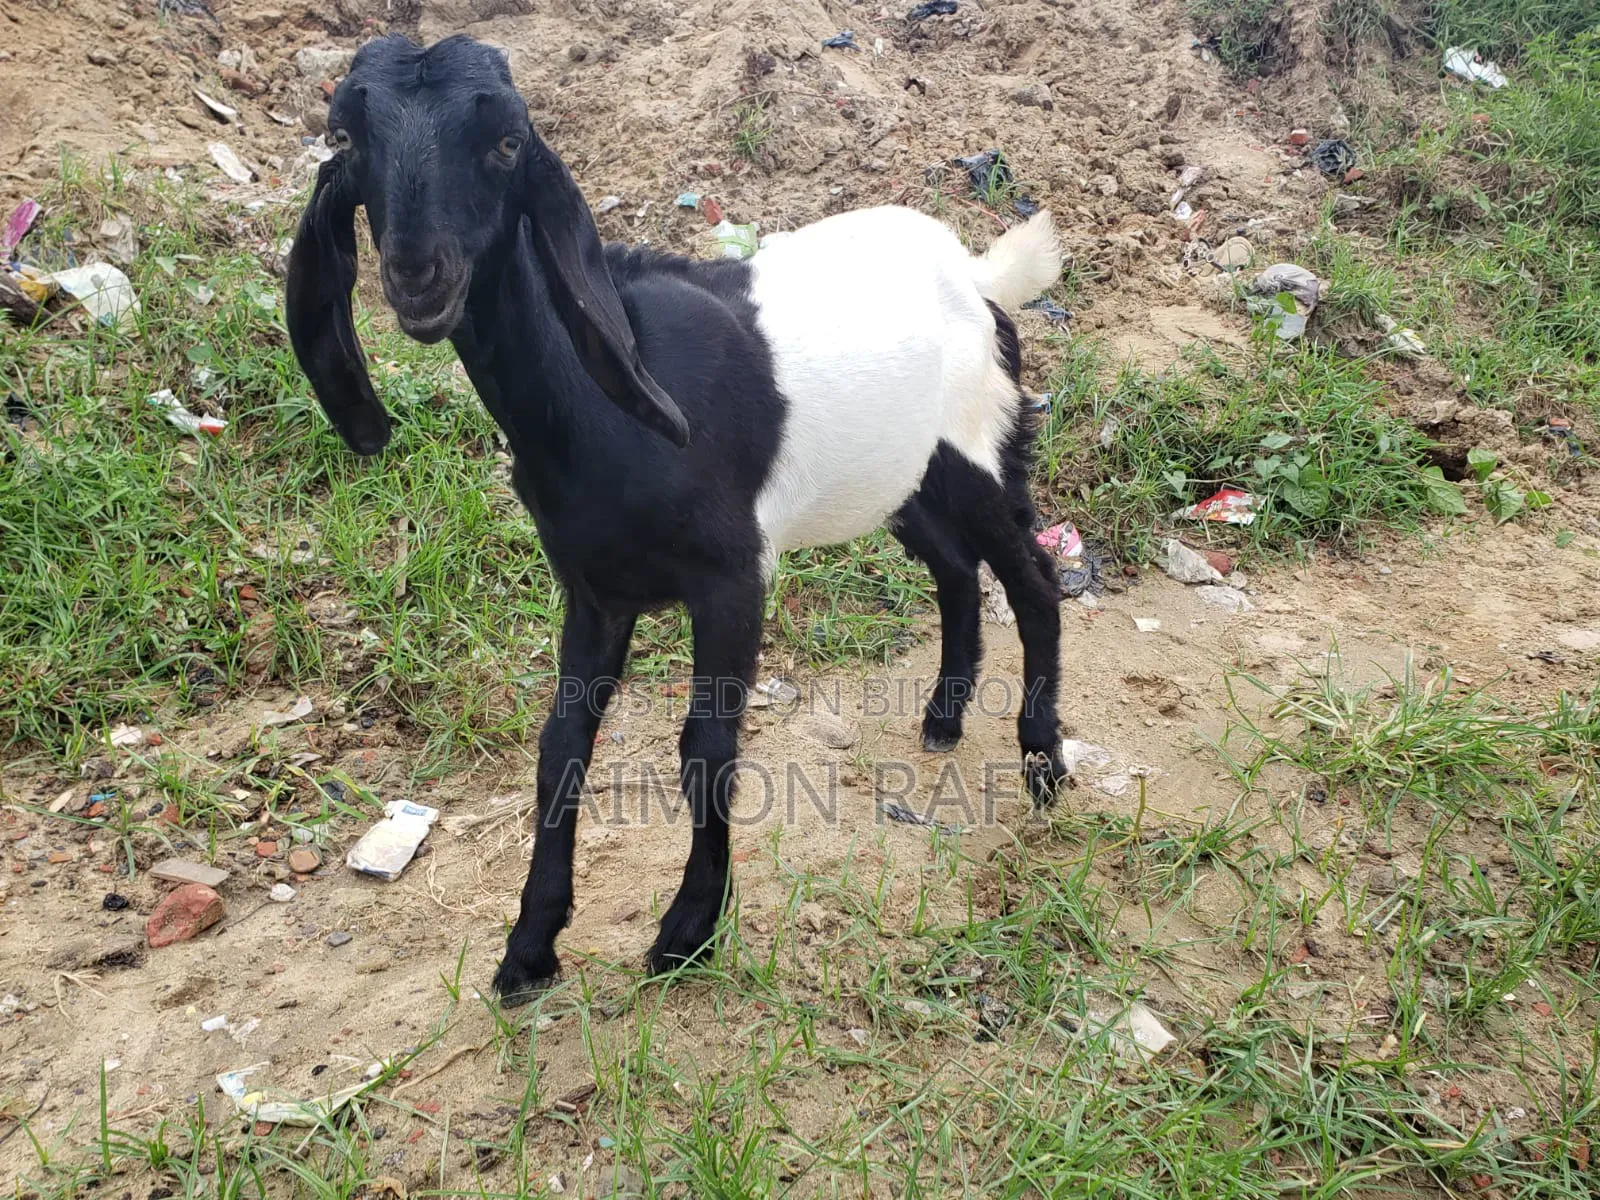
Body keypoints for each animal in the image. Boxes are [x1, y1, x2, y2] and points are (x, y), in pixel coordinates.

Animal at [286, 33, 1071, 1003]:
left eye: (508, 145)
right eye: (347, 140)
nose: (417, 275)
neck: (603, 405)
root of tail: (976, 273)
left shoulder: (732, 577)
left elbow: (707, 747)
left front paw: (689, 931)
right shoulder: (594, 593)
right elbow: (561, 746)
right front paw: (529, 948)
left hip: (975, 447)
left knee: (1032, 578)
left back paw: (1041, 763)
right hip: (903, 477)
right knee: (957, 570)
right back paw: (944, 717)